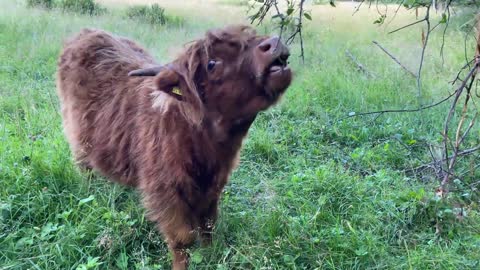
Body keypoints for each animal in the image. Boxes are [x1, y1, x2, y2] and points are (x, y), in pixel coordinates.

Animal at [57, 25, 292, 270]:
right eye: (212, 63)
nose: (274, 43)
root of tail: (87, 32)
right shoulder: (165, 192)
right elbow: (182, 239)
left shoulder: (213, 186)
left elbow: (208, 225)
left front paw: (210, 255)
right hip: (76, 137)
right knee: (84, 167)